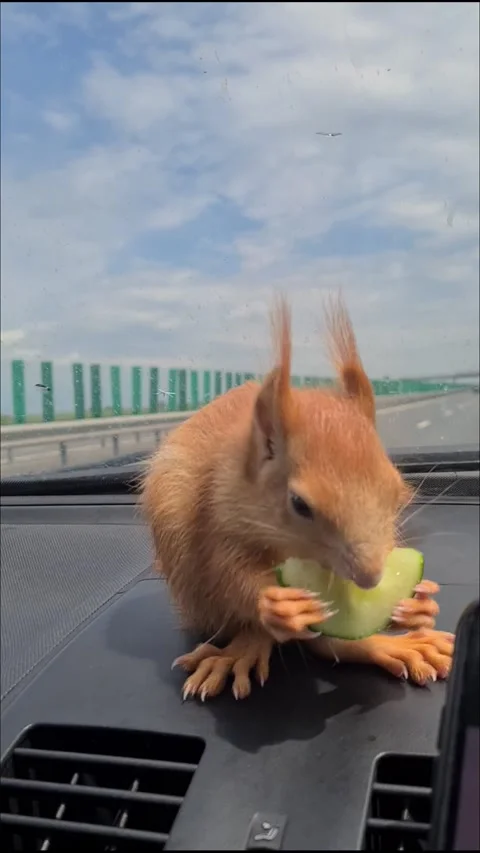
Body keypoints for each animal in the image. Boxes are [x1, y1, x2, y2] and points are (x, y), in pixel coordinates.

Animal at [141, 295, 454, 701]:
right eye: (300, 504)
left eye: (396, 491)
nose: (371, 578)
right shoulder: (216, 513)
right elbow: (227, 574)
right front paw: (274, 605)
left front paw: (421, 602)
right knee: (258, 629)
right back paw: (242, 648)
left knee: (332, 643)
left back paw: (396, 645)